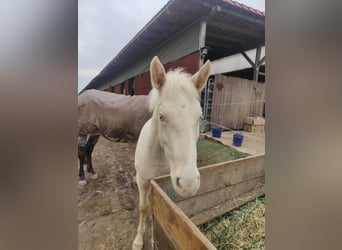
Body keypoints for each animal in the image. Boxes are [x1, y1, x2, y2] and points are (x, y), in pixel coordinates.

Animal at [132, 57, 210, 250]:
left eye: (200, 117)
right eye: (161, 116)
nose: (189, 183)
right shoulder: (143, 180)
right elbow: (143, 207)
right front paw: (138, 241)